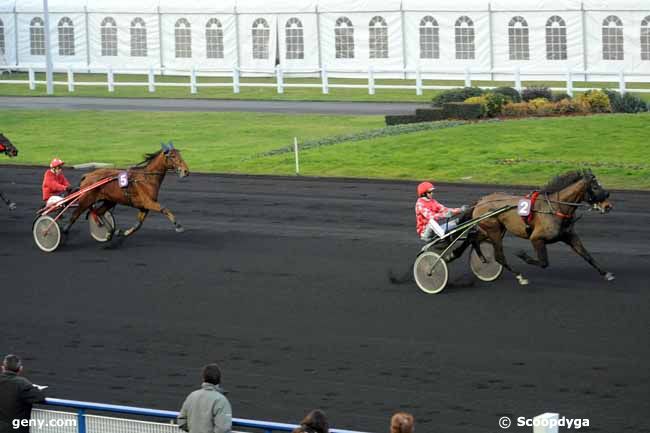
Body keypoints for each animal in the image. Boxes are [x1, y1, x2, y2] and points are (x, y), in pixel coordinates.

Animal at [468, 170, 612, 286]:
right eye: (595, 187)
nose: (608, 206)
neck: (555, 208)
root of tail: (481, 201)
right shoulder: (537, 238)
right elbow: (543, 262)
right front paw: (522, 255)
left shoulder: (569, 236)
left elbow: (586, 255)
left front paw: (606, 273)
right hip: (494, 231)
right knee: (498, 256)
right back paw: (519, 276)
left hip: (494, 230)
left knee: (473, 239)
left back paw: (482, 258)